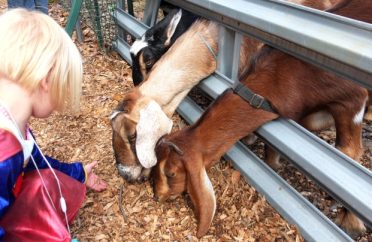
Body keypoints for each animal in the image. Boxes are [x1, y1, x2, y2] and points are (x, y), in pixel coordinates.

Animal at [153, 0, 370, 238]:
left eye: (171, 173)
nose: (157, 195)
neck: (288, 76)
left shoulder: (353, 99)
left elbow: (349, 152)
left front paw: (351, 223)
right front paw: (273, 163)